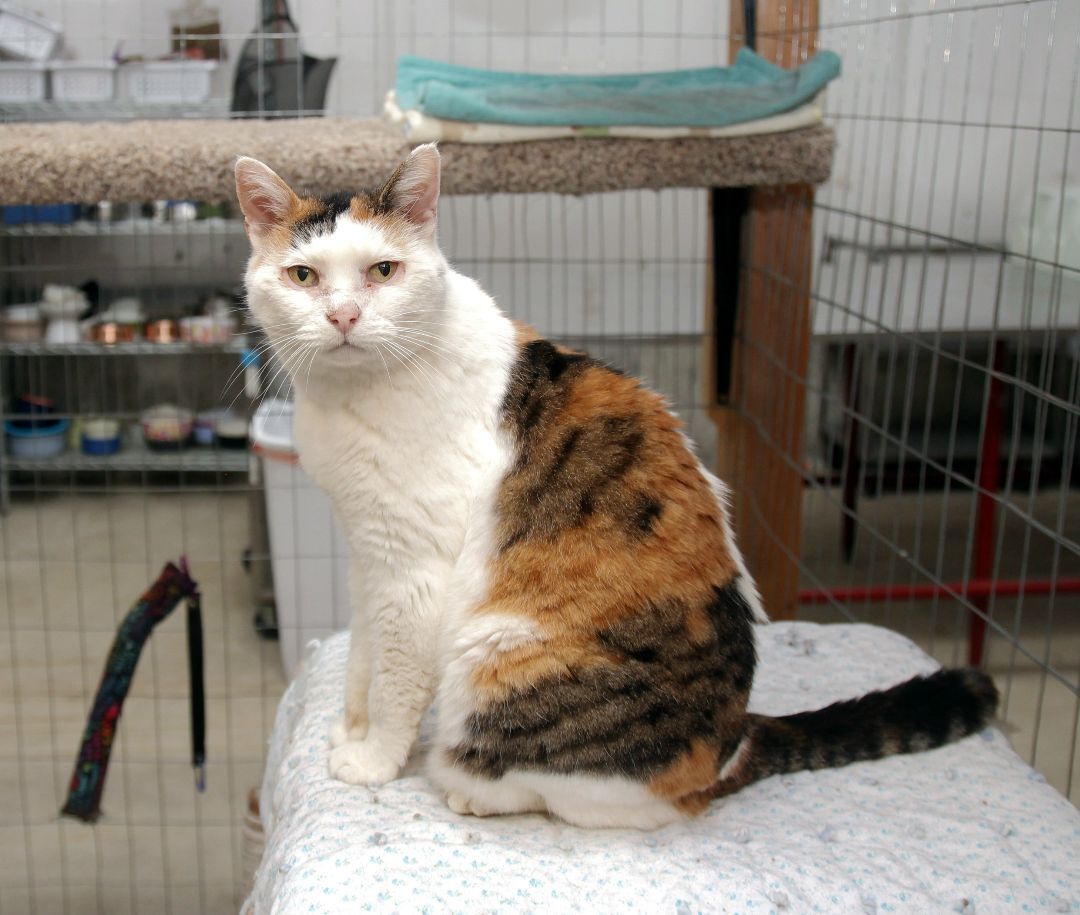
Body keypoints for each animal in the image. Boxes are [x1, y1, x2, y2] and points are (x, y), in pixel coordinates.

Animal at [234, 144, 993, 829]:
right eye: (303, 275)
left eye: (383, 270)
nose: (343, 317)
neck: (351, 396)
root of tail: (734, 740)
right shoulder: (370, 552)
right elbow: (363, 654)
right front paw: (350, 728)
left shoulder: (413, 571)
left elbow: (395, 678)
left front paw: (374, 759)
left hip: (497, 654)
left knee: (590, 796)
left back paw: (472, 791)